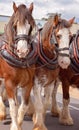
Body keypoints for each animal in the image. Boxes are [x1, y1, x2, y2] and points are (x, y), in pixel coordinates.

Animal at [0, 1, 37, 130]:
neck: (20, 60)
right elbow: (13, 107)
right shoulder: (9, 82)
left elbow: (22, 107)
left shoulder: (28, 83)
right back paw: (2, 113)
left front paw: (18, 124)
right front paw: (15, 126)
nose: (22, 51)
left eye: (30, 26)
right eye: (15, 26)